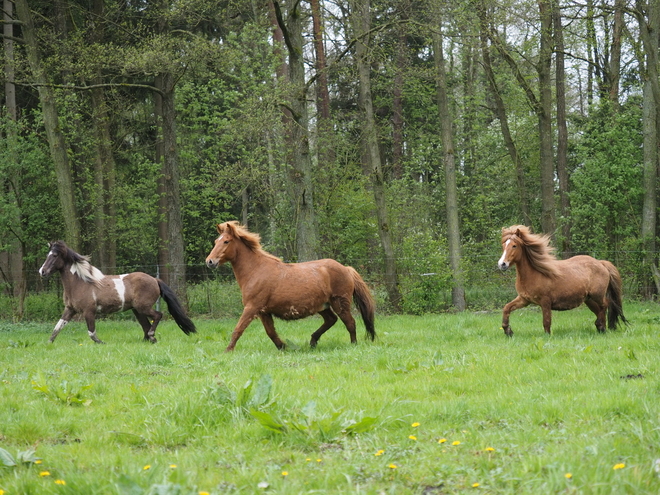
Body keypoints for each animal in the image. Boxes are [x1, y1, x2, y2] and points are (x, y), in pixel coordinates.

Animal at [38, 241, 196, 344]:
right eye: (47, 255)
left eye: (54, 255)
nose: (42, 272)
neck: (80, 283)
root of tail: (155, 279)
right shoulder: (70, 310)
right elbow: (57, 328)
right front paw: (48, 344)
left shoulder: (89, 311)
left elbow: (91, 333)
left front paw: (102, 343)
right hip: (137, 310)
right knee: (146, 326)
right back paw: (149, 340)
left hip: (143, 307)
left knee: (157, 316)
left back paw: (152, 336)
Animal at [204, 221, 376, 352]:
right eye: (216, 241)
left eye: (226, 241)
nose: (210, 262)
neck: (255, 270)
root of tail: (346, 269)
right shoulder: (263, 312)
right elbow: (271, 332)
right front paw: (283, 347)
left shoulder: (252, 308)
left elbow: (238, 329)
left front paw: (228, 351)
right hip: (323, 306)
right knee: (331, 320)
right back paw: (313, 342)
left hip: (339, 303)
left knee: (350, 323)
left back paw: (353, 345)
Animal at [498, 228, 628, 338]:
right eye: (503, 245)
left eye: (514, 245)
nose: (502, 264)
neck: (534, 273)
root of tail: (601, 263)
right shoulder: (524, 300)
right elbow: (507, 308)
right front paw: (508, 331)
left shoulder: (545, 302)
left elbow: (546, 322)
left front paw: (547, 337)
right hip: (589, 300)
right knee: (600, 310)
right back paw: (601, 328)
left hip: (598, 295)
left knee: (605, 305)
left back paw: (601, 326)